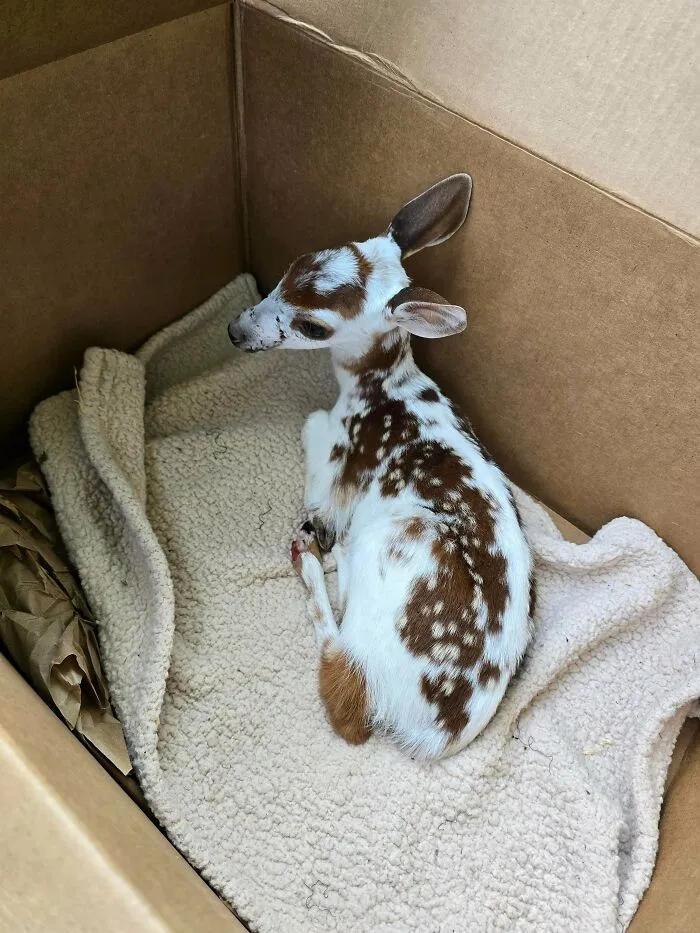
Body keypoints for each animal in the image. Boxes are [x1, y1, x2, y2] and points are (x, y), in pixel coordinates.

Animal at [228, 175, 534, 759]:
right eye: (293, 266)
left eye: (312, 325)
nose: (235, 330)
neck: (378, 387)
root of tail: (432, 734)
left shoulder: (336, 465)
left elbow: (314, 439)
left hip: (398, 539)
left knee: (341, 688)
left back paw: (313, 555)